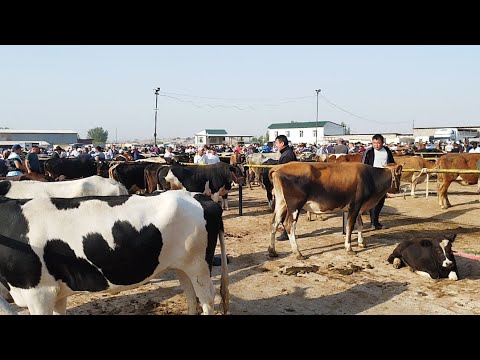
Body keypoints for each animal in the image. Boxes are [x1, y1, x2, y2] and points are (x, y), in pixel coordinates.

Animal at [0, 191, 229, 316]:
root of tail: (198, 196)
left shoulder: (39, 292)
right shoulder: (54, 292)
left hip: (198, 265)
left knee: (207, 299)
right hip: (183, 266)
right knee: (190, 295)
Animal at [270, 162, 402, 258]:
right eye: (400, 175)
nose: (398, 189)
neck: (370, 177)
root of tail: (279, 168)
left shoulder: (358, 207)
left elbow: (360, 224)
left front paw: (361, 242)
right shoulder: (355, 205)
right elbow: (350, 226)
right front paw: (349, 248)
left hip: (281, 203)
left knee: (274, 223)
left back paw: (272, 251)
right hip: (295, 205)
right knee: (289, 225)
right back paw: (298, 253)